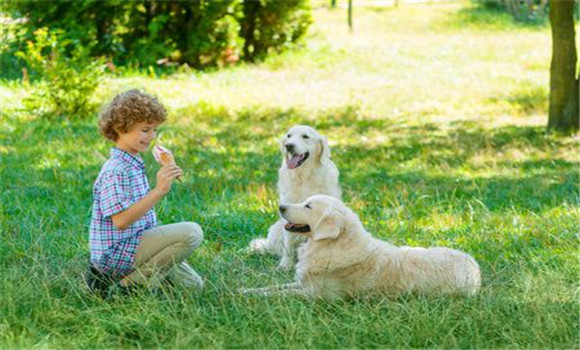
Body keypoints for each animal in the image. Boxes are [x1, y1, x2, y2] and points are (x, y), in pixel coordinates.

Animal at [241, 196, 480, 300]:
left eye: (308, 206)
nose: (280, 207)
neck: (334, 245)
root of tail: (475, 267)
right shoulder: (302, 283)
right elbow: (272, 287)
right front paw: (244, 290)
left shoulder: (314, 295)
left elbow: (278, 293)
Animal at [247, 126, 342, 270]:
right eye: (289, 136)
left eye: (305, 136)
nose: (289, 146)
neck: (304, 177)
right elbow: (289, 242)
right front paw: (285, 265)